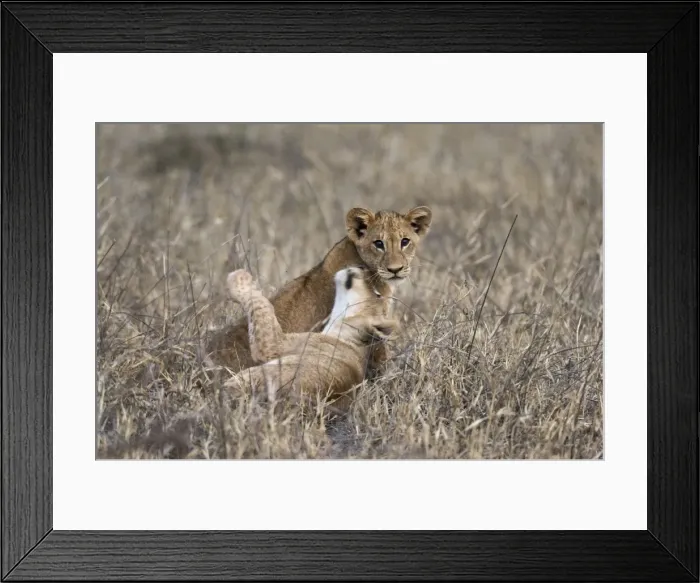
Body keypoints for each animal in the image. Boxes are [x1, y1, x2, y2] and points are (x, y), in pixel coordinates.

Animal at [223, 266, 398, 413]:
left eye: (377, 294)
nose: (362, 267)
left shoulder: (273, 344)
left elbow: (262, 306)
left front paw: (239, 278)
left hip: (249, 376)